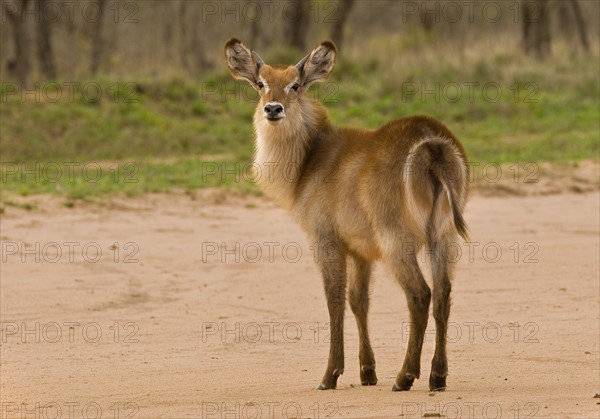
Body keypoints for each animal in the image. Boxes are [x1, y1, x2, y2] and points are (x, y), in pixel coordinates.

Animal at [225, 37, 468, 392]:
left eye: (295, 85)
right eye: (261, 84)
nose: (273, 109)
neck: (308, 159)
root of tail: (431, 142)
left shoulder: (325, 238)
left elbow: (334, 300)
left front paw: (330, 375)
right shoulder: (360, 250)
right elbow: (358, 301)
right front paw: (367, 372)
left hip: (396, 238)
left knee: (420, 294)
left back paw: (405, 376)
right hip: (443, 235)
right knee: (443, 294)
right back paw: (437, 376)